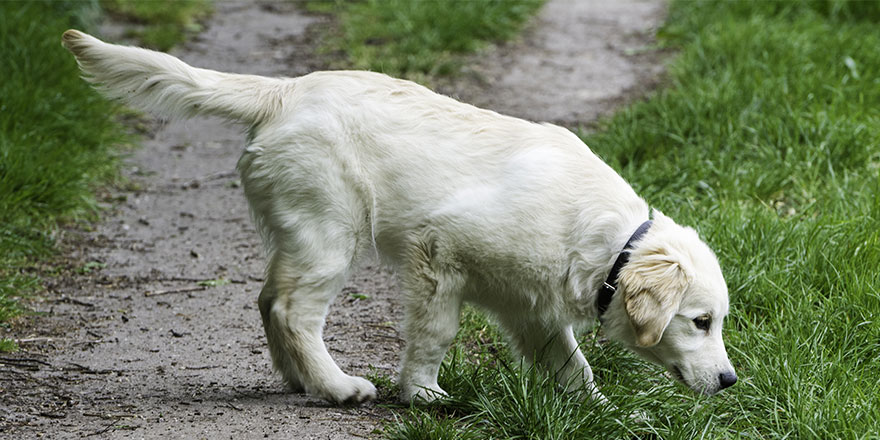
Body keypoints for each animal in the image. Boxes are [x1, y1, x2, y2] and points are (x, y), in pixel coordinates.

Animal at [62, 30, 736, 406]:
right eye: (700, 322)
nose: (730, 380)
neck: (609, 241)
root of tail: (283, 91)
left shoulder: (532, 308)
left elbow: (572, 364)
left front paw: (605, 411)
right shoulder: (440, 252)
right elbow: (436, 333)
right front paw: (422, 393)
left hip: (303, 229)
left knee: (268, 300)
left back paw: (303, 382)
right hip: (331, 230)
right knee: (292, 308)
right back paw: (337, 387)